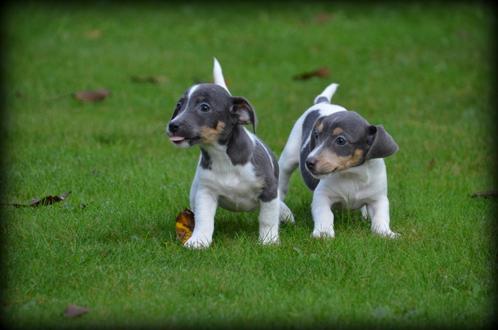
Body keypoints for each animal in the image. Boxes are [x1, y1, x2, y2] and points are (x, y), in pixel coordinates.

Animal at [165, 59, 294, 249]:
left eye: (204, 107)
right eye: (179, 105)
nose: (172, 125)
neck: (223, 159)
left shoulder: (269, 191)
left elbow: (267, 218)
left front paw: (269, 240)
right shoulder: (206, 193)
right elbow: (204, 219)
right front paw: (199, 240)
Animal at [278, 84, 398, 240]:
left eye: (340, 140)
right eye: (316, 135)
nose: (308, 162)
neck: (352, 174)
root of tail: (323, 102)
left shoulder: (379, 199)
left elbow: (381, 216)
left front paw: (386, 233)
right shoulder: (322, 196)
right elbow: (325, 214)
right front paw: (323, 233)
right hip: (288, 159)